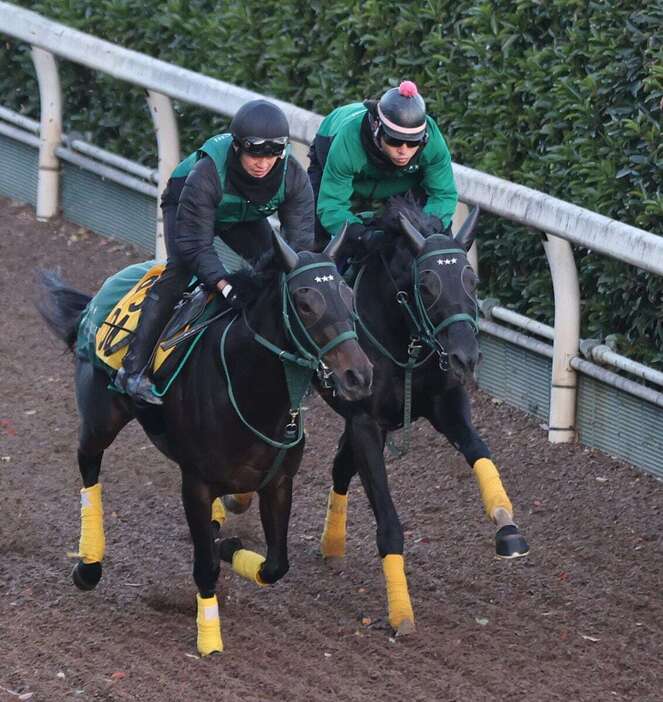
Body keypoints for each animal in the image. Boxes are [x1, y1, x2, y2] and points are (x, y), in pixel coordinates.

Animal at [36, 231, 374, 656]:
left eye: (348, 294)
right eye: (305, 302)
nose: (359, 375)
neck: (250, 391)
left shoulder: (279, 483)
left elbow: (275, 566)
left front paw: (227, 547)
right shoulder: (195, 483)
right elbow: (206, 566)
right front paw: (209, 636)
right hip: (101, 419)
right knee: (88, 466)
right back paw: (88, 565)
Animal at [314, 195, 532, 636]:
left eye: (472, 280)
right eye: (427, 284)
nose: (467, 356)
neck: (403, 340)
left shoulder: (444, 403)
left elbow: (480, 451)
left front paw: (507, 526)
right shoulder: (365, 423)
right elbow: (387, 517)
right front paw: (401, 611)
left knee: (340, 467)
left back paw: (332, 543)